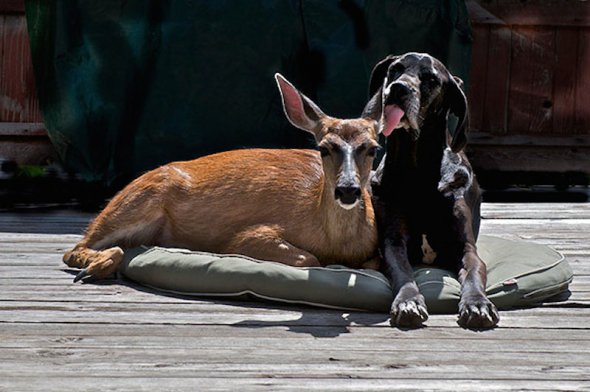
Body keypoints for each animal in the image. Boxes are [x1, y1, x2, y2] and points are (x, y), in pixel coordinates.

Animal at [65, 73, 384, 282]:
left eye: (373, 148)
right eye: (323, 148)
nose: (347, 189)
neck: (336, 243)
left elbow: (372, 264)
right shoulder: (247, 237)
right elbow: (310, 257)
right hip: (138, 200)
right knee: (75, 248)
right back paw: (95, 268)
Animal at [368, 52, 502, 328]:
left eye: (431, 79)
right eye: (395, 69)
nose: (398, 89)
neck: (417, 170)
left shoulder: (465, 247)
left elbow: (473, 272)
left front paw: (477, 303)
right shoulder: (393, 242)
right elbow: (403, 272)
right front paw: (408, 301)